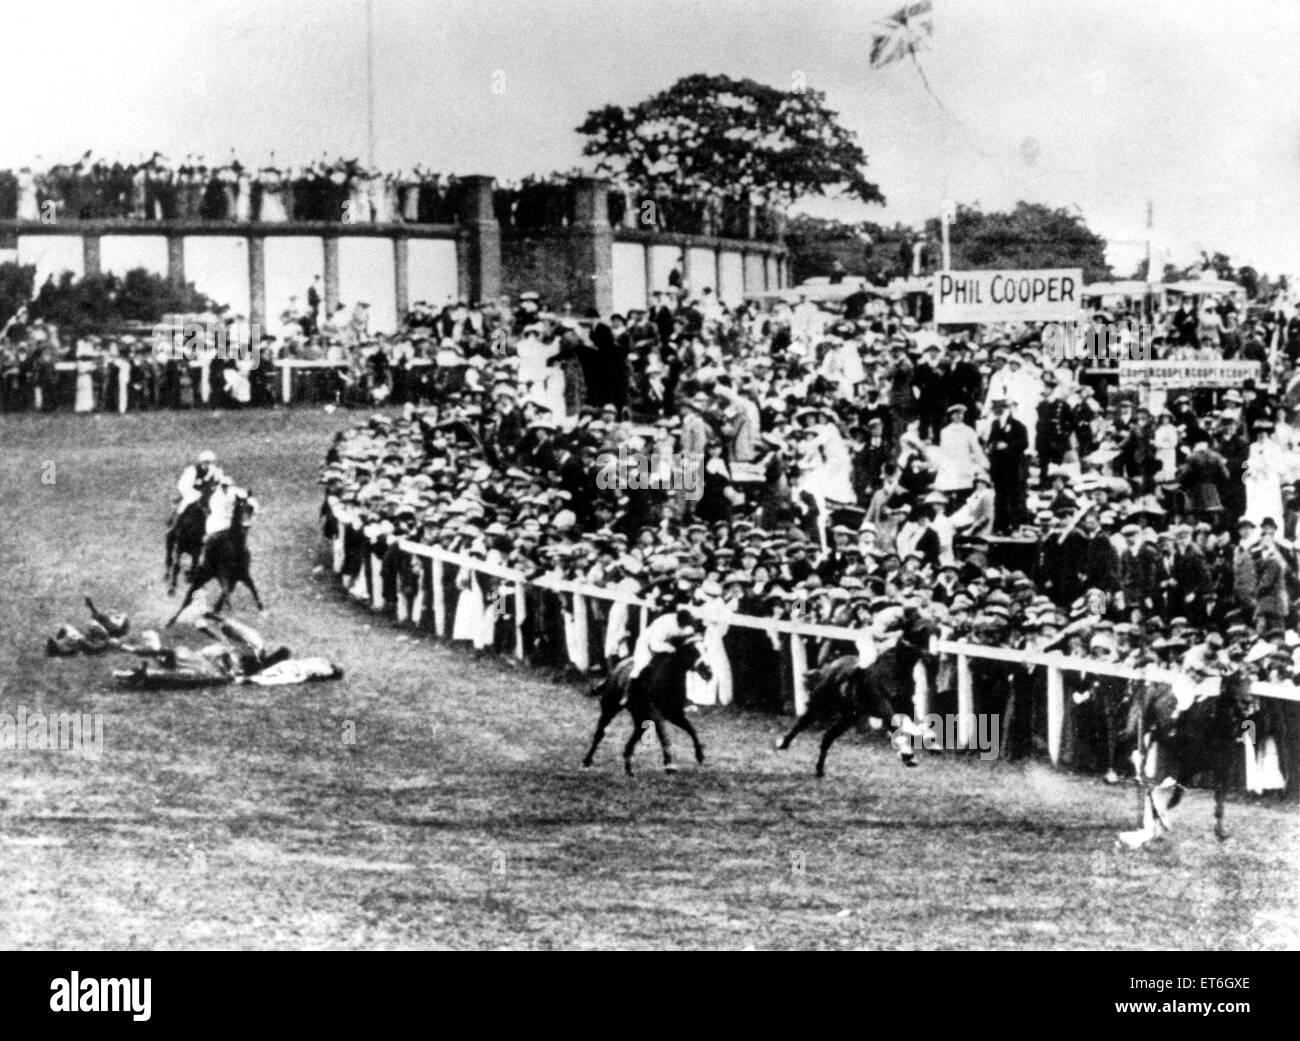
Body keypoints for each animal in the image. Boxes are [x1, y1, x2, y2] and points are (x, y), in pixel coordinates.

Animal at [167, 493, 263, 629]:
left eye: (251, 507)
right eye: (239, 506)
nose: (245, 525)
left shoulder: (241, 574)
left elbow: (252, 588)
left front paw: (261, 609)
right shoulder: (224, 574)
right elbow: (227, 593)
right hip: (202, 574)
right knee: (187, 596)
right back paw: (171, 619)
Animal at [585, 634, 717, 769]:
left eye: (706, 649)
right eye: (693, 651)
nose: (709, 671)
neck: (668, 680)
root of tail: (616, 668)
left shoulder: (674, 714)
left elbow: (691, 730)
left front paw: (700, 756)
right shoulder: (655, 713)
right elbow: (664, 734)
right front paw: (669, 764)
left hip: (639, 715)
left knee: (632, 739)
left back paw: (629, 767)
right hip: (610, 707)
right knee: (600, 733)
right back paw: (587, 760)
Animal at [769, 608, 935, 769]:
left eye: (936, 631)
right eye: (921, 630)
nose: (933, 655)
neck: (897, 670)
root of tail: (829, 667)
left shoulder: (907, 703)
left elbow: (916, 720)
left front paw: (925, 740)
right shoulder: (882, 704)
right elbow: (895, 725)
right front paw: (907, 755)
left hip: (849, 717)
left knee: (828, 736)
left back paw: (819, 770)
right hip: (819, 705)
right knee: (801, 724)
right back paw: (783, 744)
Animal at [1118, 665, 1258, 842]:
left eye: (1251, 681)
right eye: (1234, 681)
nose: (1248, 703)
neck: (1216, 725)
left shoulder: (1224, 769)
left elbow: (1219, 798)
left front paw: (1221, 832)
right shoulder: (1188, 766)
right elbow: (1176, 797)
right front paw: (1160, 823)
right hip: (1143, 733)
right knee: (1139, 765)